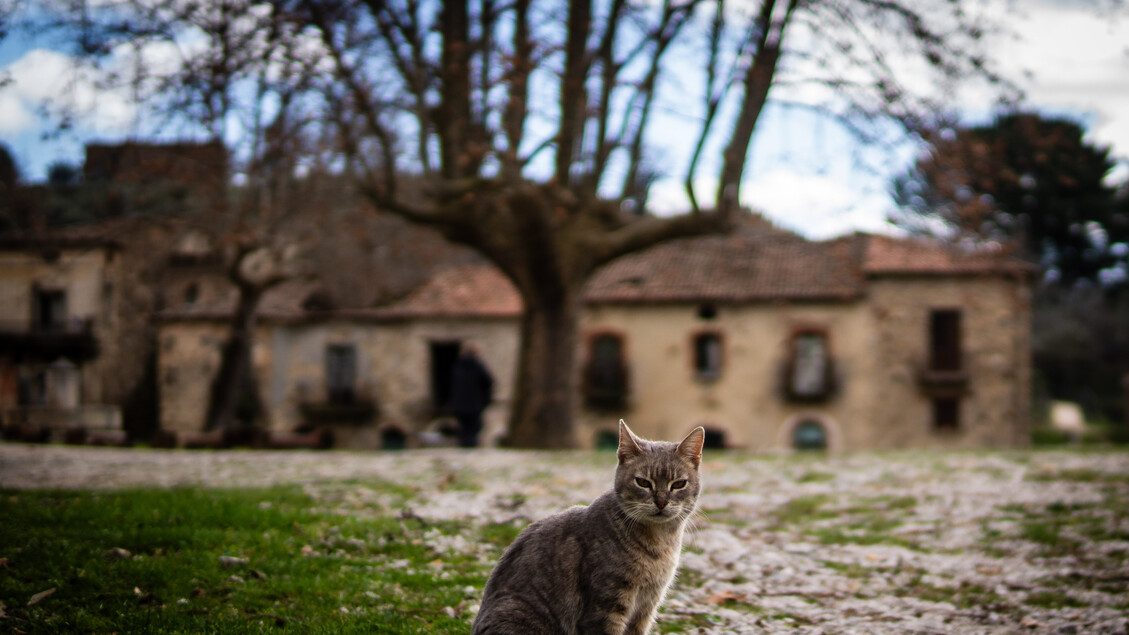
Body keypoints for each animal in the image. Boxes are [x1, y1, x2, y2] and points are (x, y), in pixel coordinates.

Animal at [469, 418, 699, 628]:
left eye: (678, 484)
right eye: (643, 482)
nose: (661, 502)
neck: (660, 543)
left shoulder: (645, 608)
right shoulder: (605, 607)